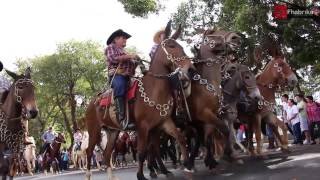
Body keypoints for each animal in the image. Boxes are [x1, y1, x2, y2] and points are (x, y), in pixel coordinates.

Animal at [85, 20, 194, 180]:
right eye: (171, 46)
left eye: (181, 46)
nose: (190, 69)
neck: (154, 89)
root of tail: (91, 104)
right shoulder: (143, 127)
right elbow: (143, 152)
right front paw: (141, 175)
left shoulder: (163, 123)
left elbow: (180, 139)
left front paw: (187, 165)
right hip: (94, 131)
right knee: (88, 152)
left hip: (113, 131)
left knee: (106, 154)